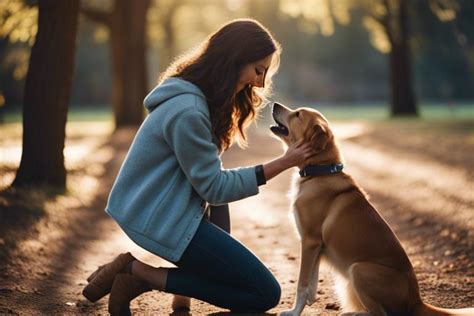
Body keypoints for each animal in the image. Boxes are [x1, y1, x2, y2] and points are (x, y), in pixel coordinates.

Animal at [270, 102, 474, 316]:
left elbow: (302, 283)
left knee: (381, 313)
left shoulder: (309, 241)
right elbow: (311, 282)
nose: (275, 104)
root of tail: (416, 301)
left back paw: (352, 313)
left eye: (298, 114)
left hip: (359, 270)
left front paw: (294, 312)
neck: (320, 172)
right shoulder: (316, 246)